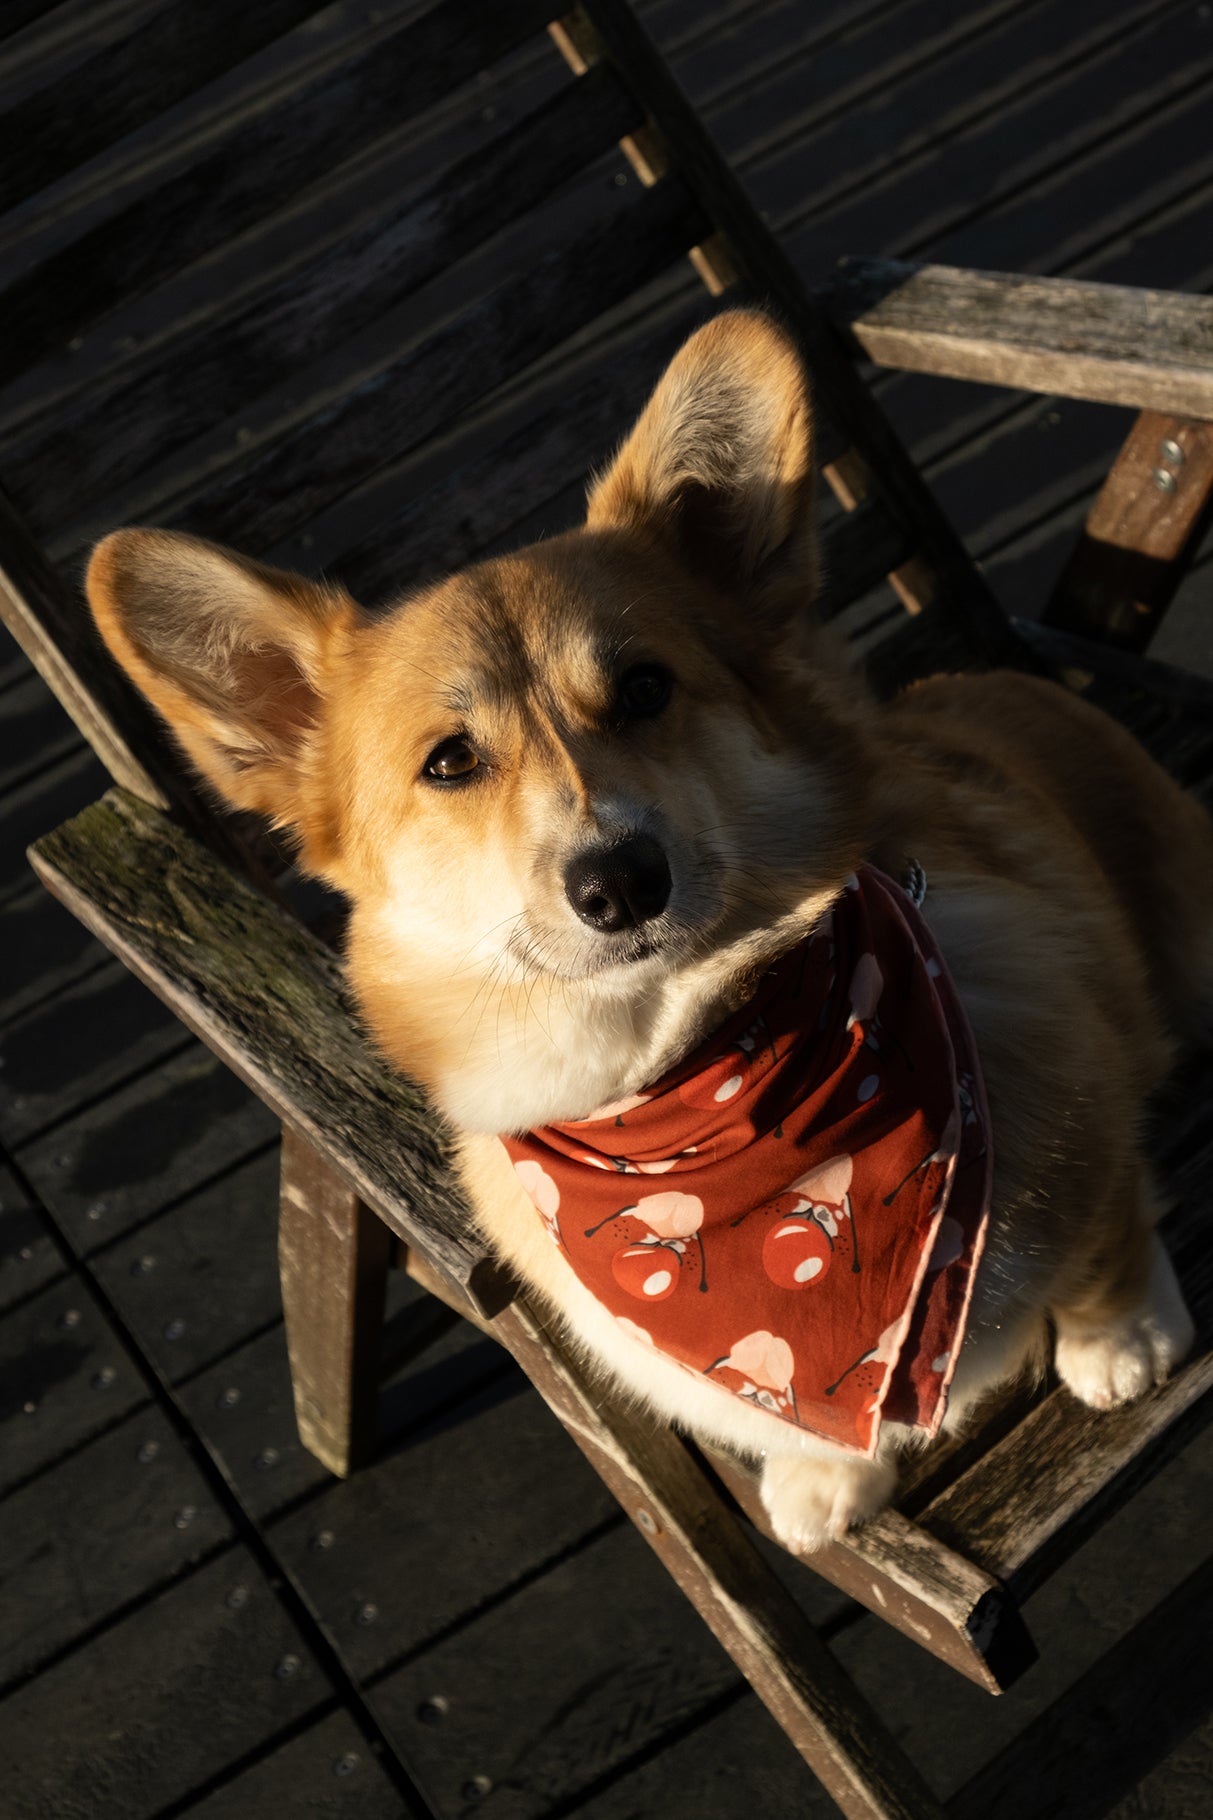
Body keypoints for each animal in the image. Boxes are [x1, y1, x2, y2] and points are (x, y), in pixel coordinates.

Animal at [85, 305, 1202, 1543]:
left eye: (644, 688)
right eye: (450, 761)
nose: (619, 882)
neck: (685, 1088)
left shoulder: (1090, 1113)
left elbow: (1103, 1227)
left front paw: (1116, 1335)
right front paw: (825, 1472)